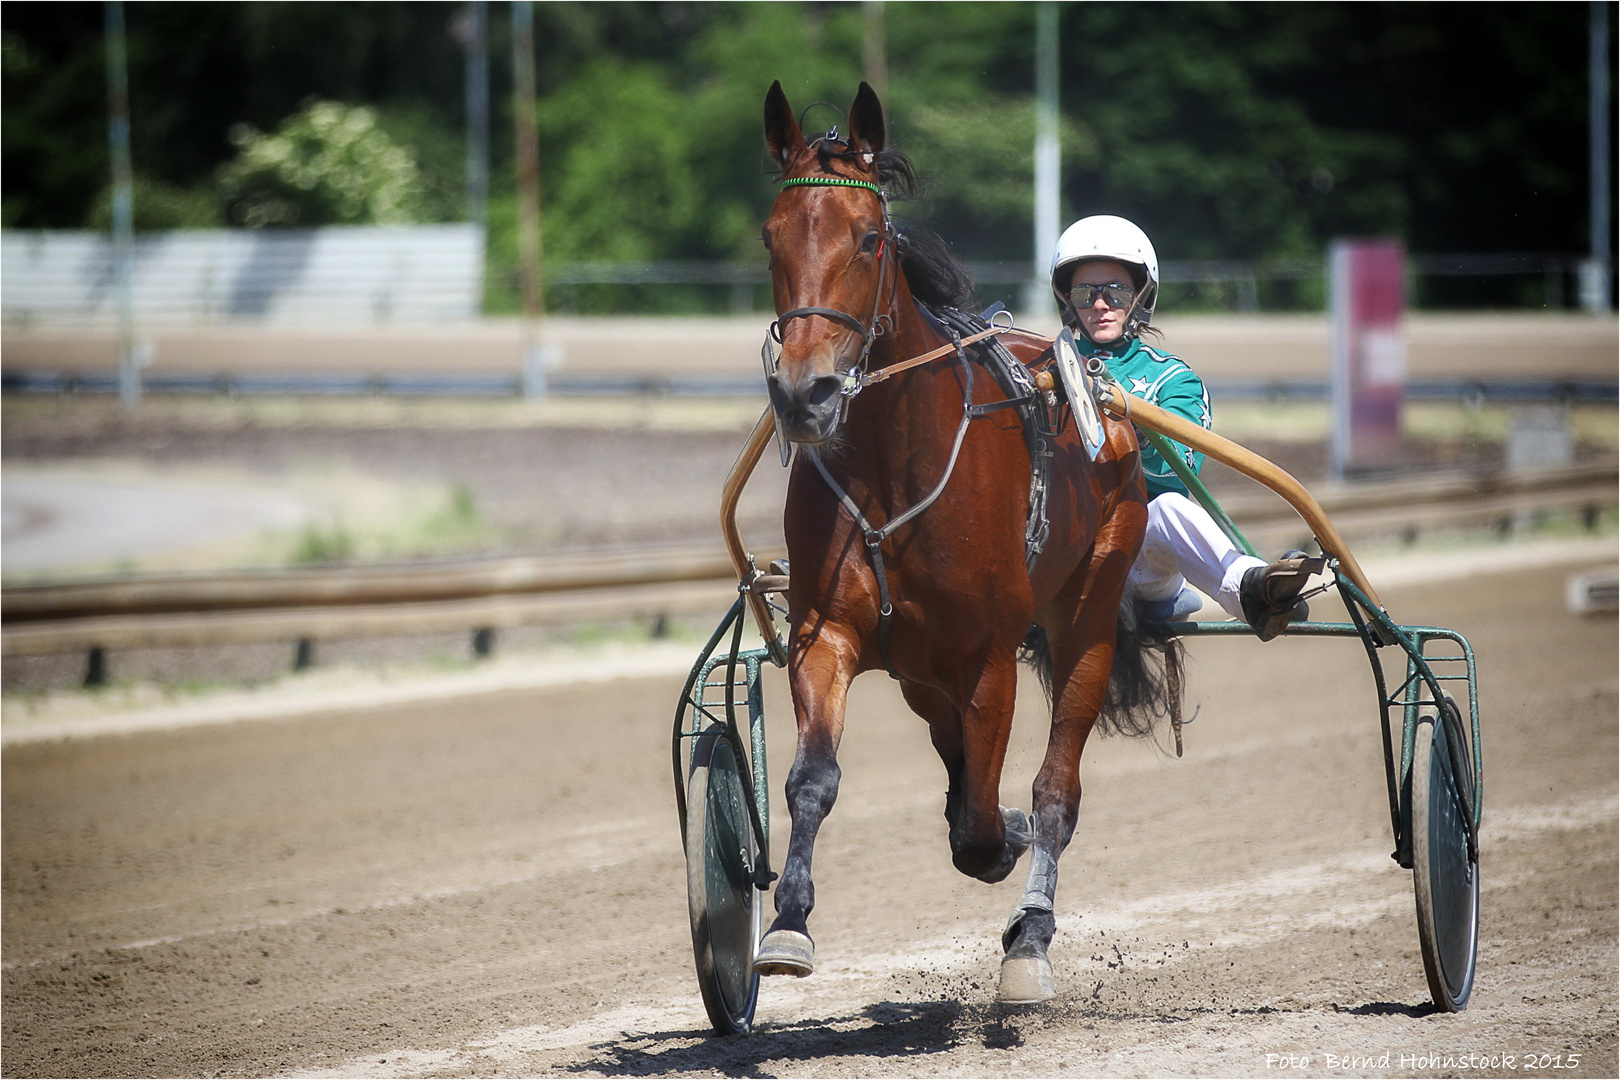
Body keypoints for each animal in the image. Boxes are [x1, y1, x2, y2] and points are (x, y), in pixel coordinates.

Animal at [758, 82, 1179, 1003]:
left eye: (868, 237)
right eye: (771, 235)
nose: (806, 392)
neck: (892, 468)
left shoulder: (987, 655)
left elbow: (987, 826)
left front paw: (1010, 854)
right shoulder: (828, 632)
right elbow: (814, 780)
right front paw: (788, 922)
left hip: (1087, 616)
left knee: (1054, 788)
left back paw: (1032, 931)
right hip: (921, 669)